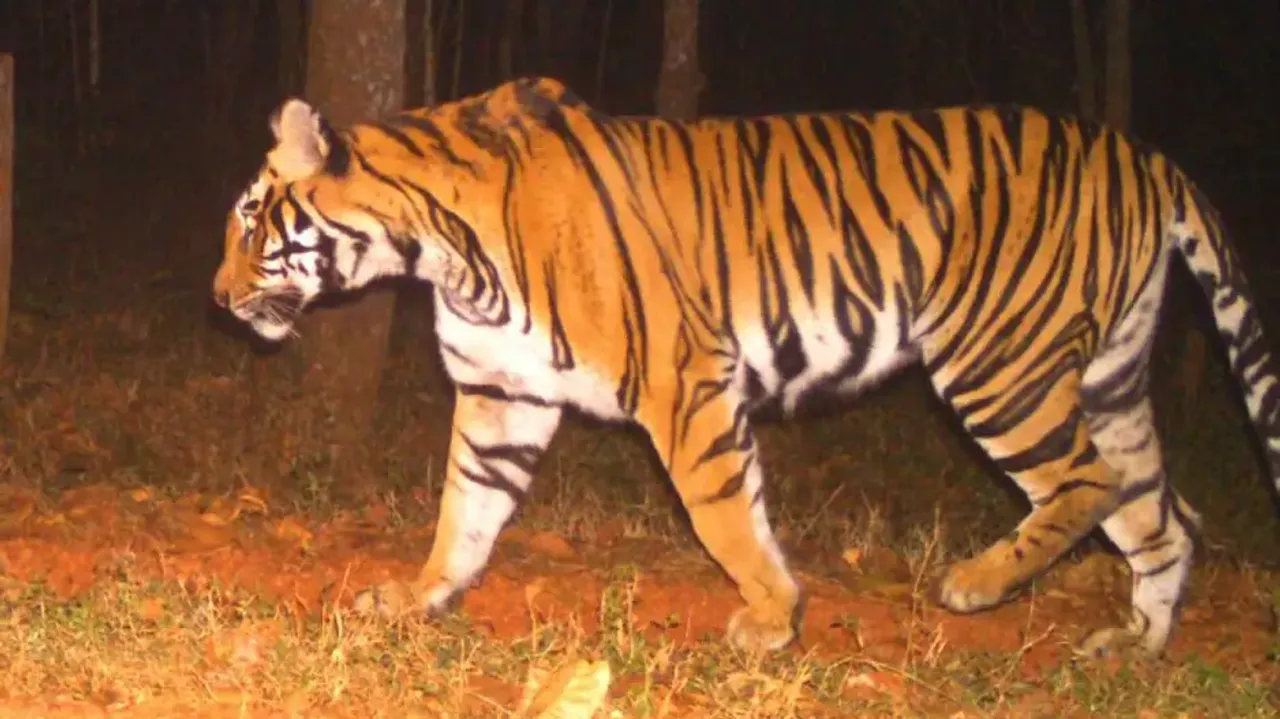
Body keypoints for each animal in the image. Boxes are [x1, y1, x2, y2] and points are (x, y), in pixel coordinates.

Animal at [212, 75, 1280, 657]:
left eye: (251, 220)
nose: (218, 300)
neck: (438, 249)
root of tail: (1148, 157)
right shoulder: (499, 394)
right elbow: (464, 509)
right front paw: (421, 595)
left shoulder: (685, 383)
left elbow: (723, 512)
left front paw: (773, 617)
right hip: (1109, 378)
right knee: (1164, 515)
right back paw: (1133, 649)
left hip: (1000, 361)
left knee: (1089, 484)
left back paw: (976, 584)